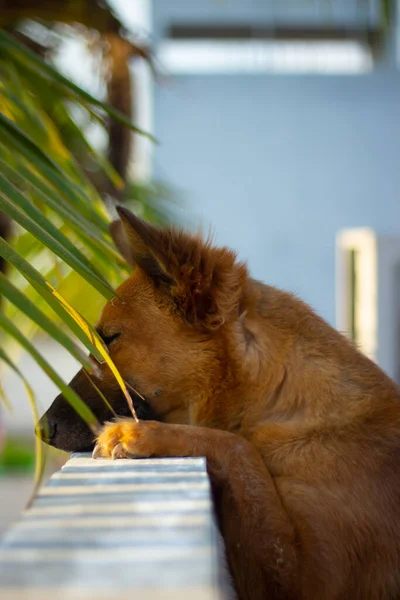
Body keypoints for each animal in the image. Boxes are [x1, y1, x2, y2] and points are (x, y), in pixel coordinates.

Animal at [38, 207, 400, 600]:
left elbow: (237, 447)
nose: (41, 429)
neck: (279, 398)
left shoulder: (306, 579)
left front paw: (144, 435)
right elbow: (240, 449)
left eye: (109, 339)